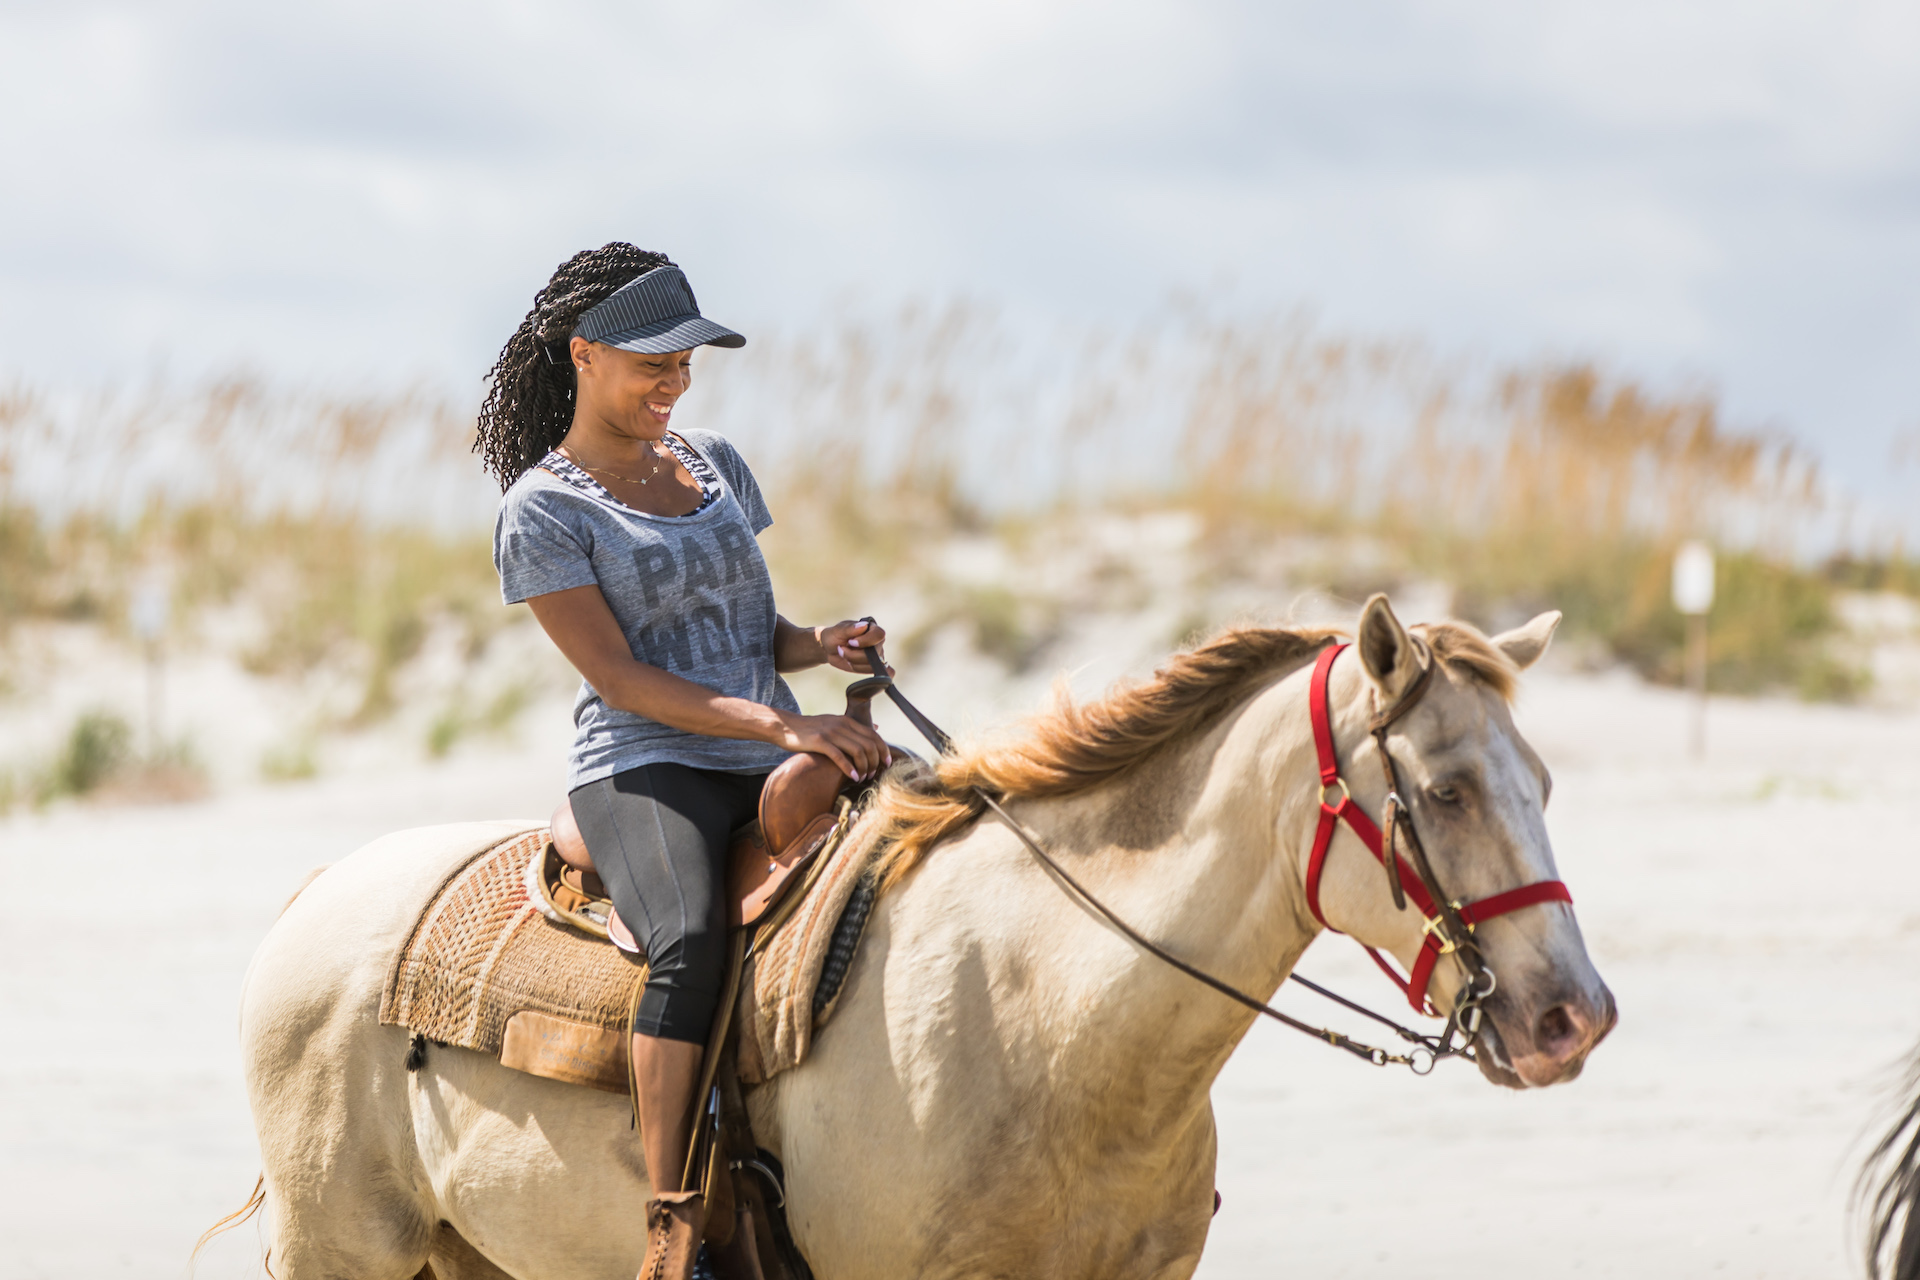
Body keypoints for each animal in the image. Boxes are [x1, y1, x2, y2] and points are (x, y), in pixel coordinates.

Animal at [226, 597, 1615, 1279]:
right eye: (1445, 790)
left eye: (1545, 777)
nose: (1574, 1015)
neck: (1051, 1020)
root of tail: (317, 893)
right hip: (343, 1251)